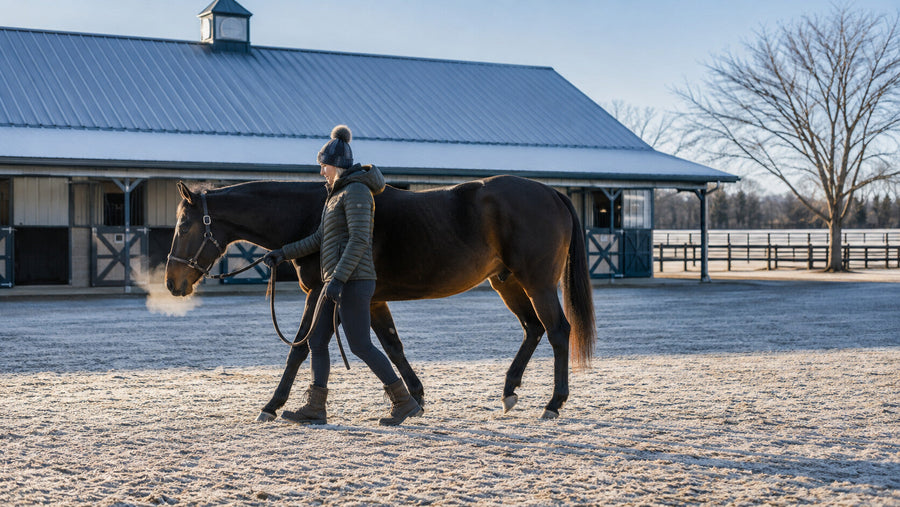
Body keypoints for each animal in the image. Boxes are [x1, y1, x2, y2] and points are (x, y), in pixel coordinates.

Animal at [165, 174, 596, 419]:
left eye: (184, 226)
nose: (172, 282)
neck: (312, 212)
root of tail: (552, 193)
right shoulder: (369, 300)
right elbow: (391, 345)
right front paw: (415, 398)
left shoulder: (323, 293)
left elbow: (301, 348)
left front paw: (272, 406)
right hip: (506, 282)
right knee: (532, 329)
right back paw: (509, 392)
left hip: (537, 282)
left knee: (557, 331)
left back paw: (554, 403)